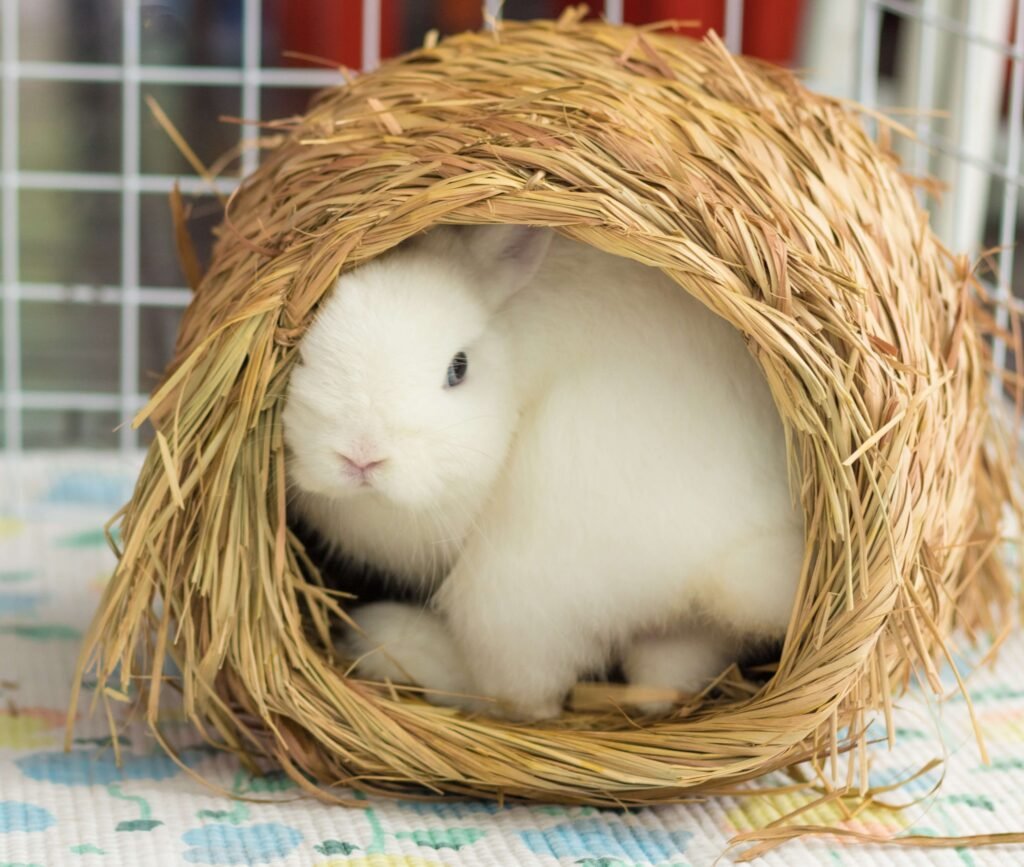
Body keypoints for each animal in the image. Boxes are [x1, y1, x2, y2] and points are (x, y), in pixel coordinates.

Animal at [284, 224, 804, 720]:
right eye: (304, 357)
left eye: (458, 368)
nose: (362, 456)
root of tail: (720, 559)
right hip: (686, 636)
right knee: (661, 682)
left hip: (511, 599)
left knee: (523, 700)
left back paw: (393, 642)